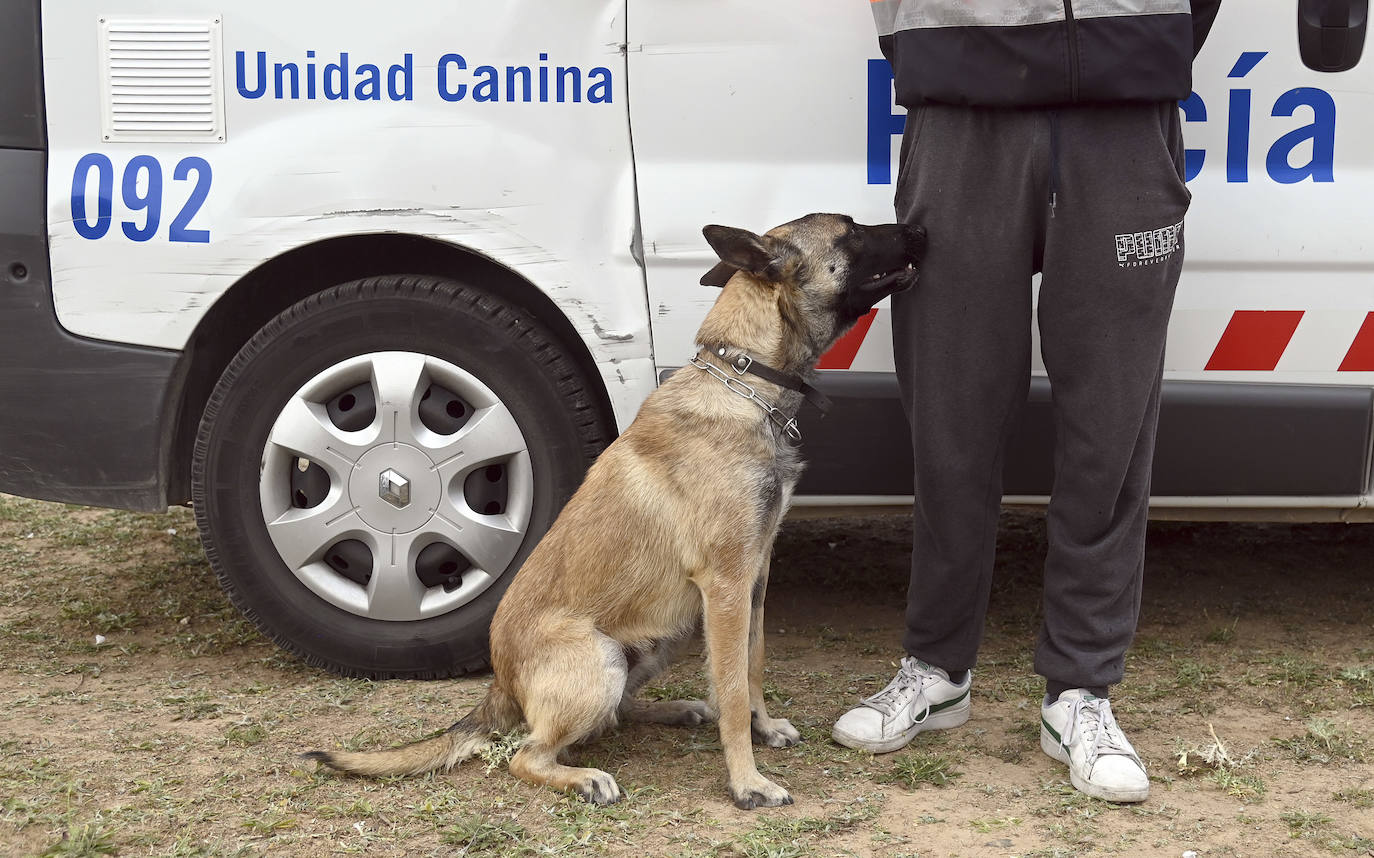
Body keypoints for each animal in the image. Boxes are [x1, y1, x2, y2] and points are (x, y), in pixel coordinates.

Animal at [300, 211, 923, 808]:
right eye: (851, 230)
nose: (918, 227)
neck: (742, 382)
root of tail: (501, 684)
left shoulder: (755, 579)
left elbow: (753, 664)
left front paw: (763, 727)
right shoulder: (726, 585)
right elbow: (731, 686)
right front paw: (747, 782)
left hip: (655, 644)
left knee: (615, 715)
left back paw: (675, 711)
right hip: (601, 660)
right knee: (526, 755)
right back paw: (585, 778)